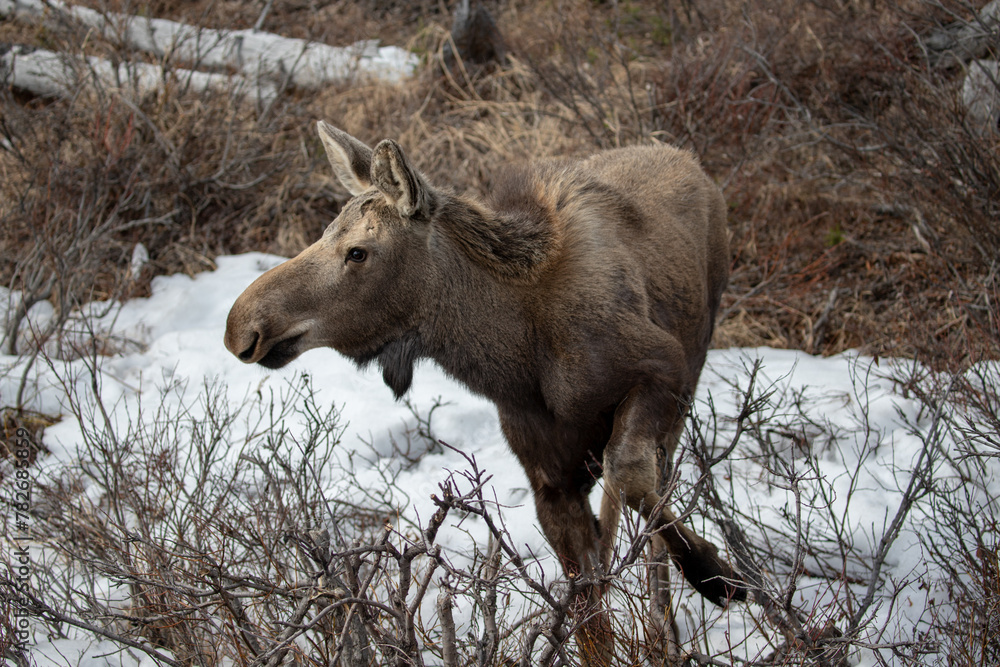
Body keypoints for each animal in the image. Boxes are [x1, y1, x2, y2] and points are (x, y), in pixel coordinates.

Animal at [224, 121, 746, 664]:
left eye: (358, 251)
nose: (241, 325)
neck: (516, 359)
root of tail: (686, 158)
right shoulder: (549, 482)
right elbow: (589, 623)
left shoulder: (663, 367)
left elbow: (628, 472)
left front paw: (716, 573)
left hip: (690, 376)